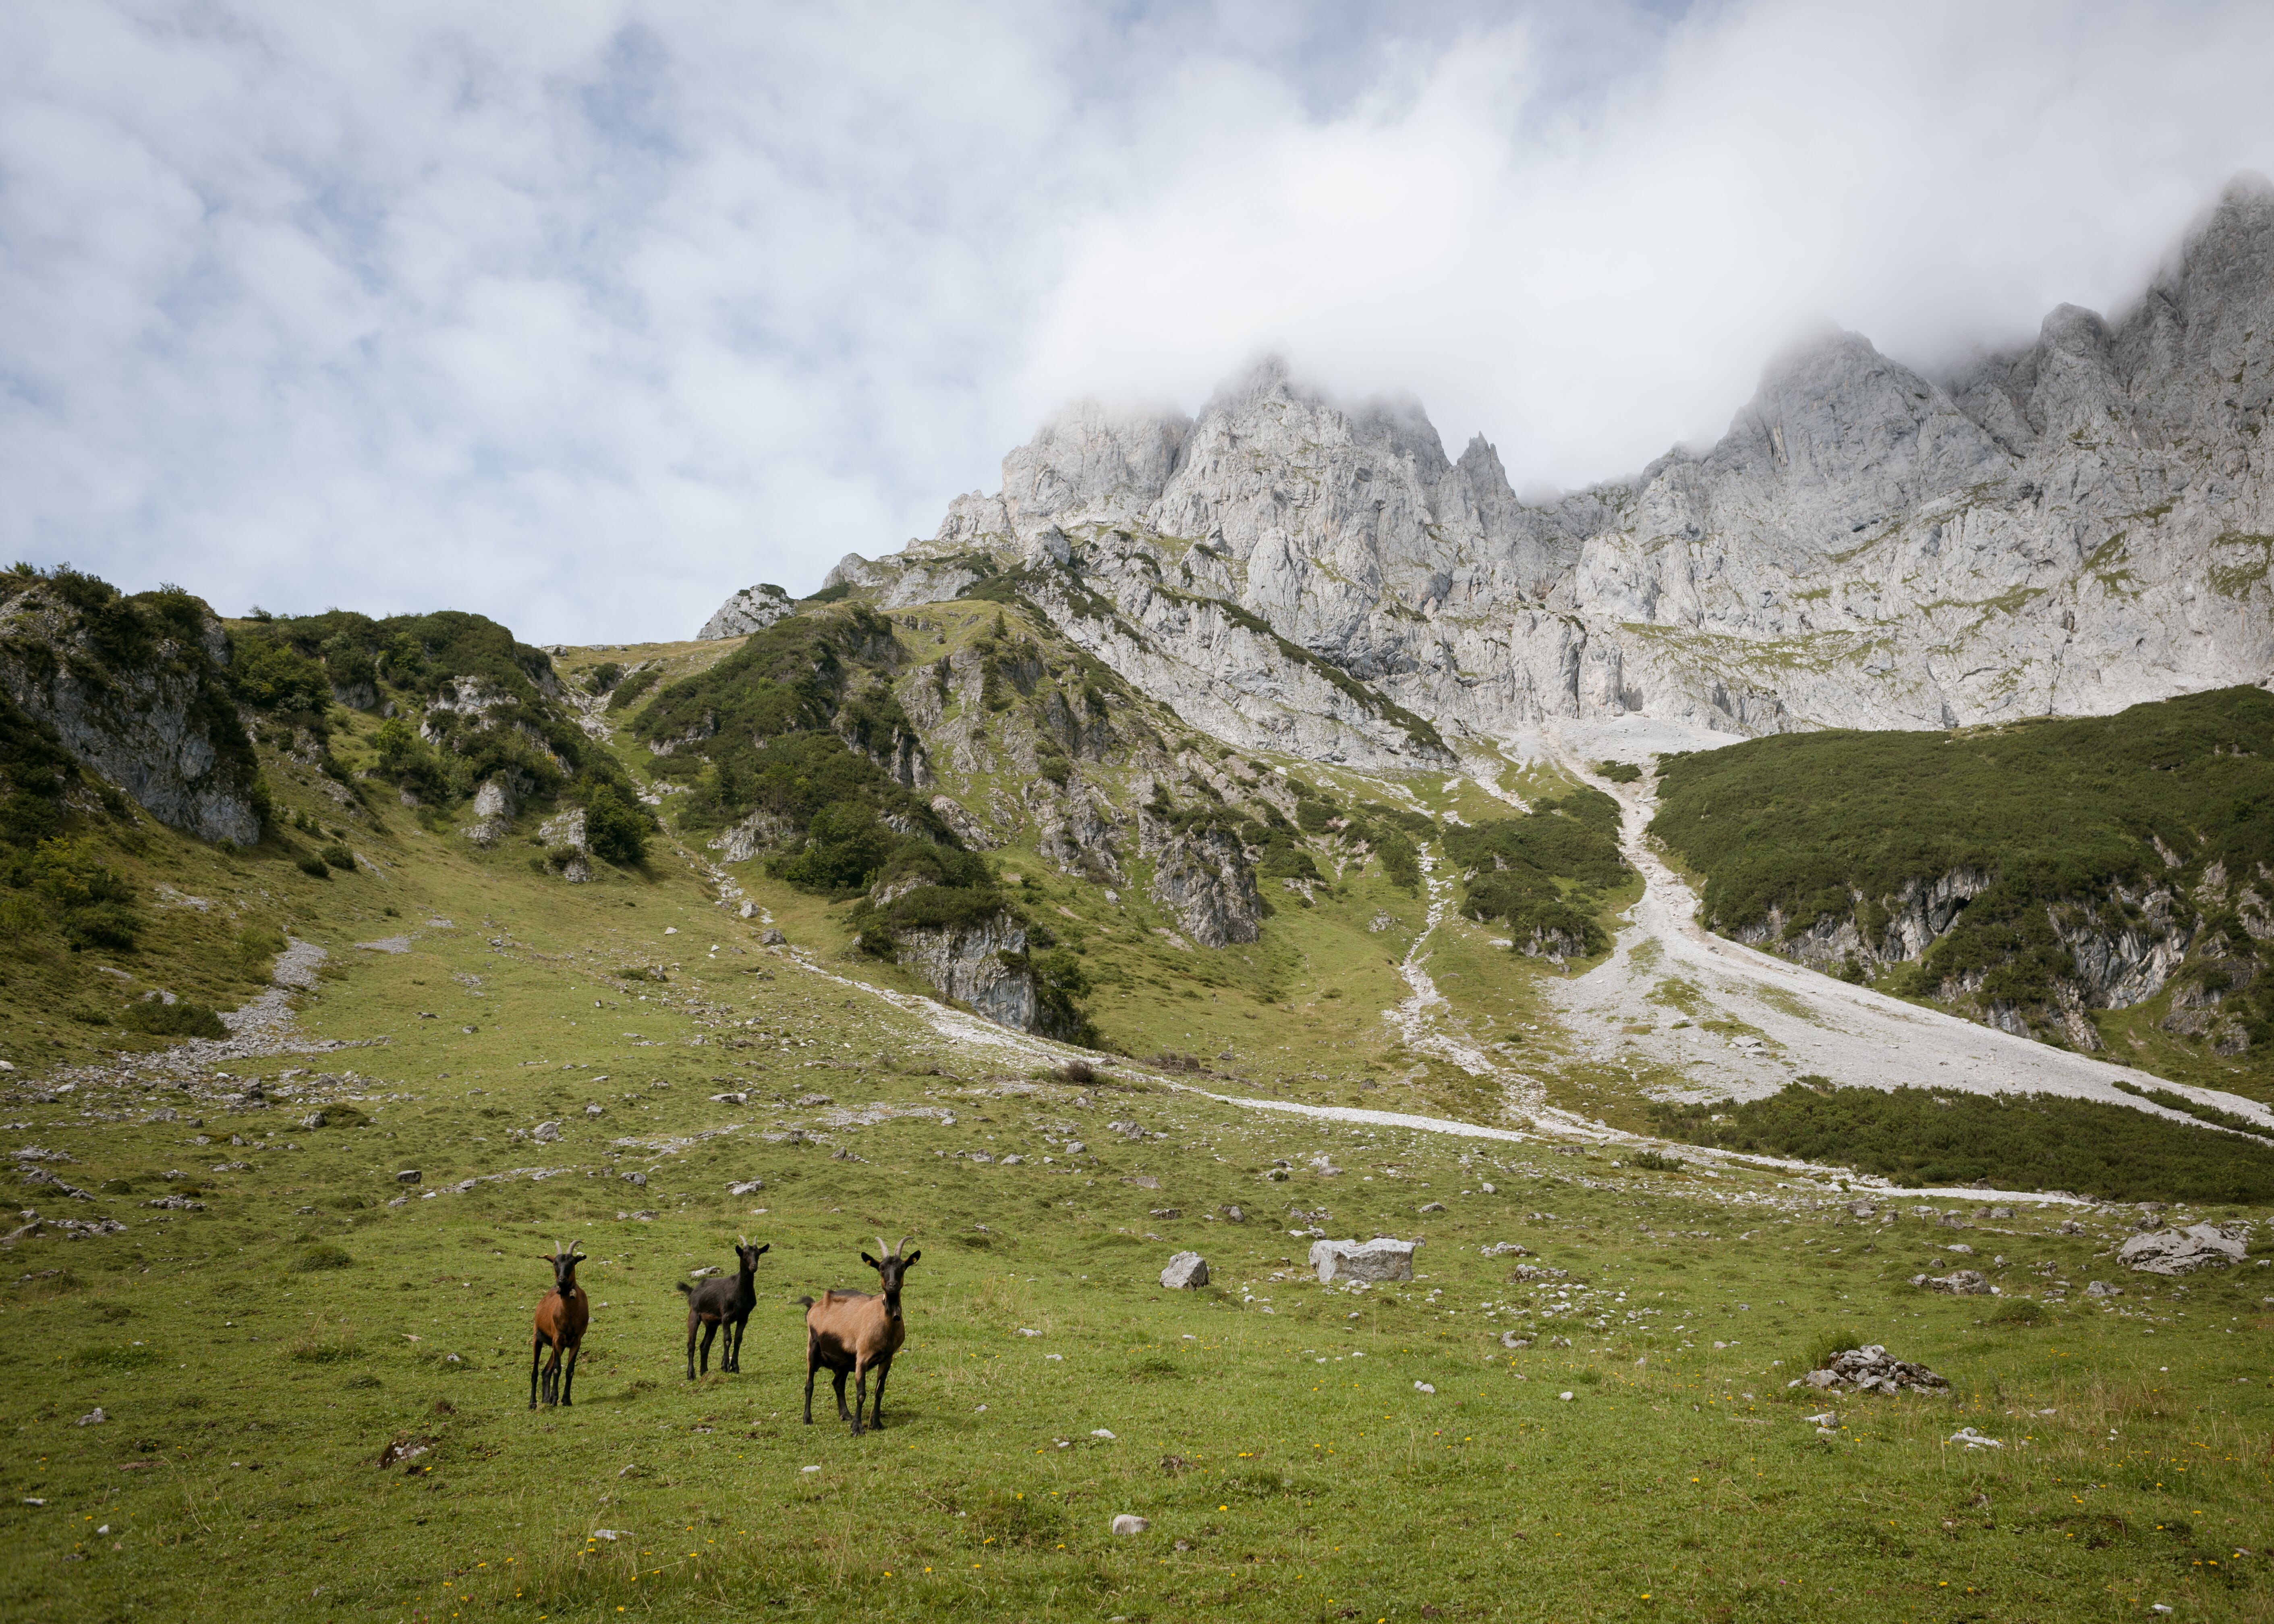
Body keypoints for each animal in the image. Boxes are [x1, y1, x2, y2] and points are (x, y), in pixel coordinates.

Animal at [525, 1237, 587, 1401]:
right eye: (555, 1263)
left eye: (573, 1263)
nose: (561, 1280)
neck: (570, 1314)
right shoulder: (557, 1338)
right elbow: (558, 1369)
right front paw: (555, 1399)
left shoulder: (576, 1341)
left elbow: (570, 1370)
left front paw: (566, 1400)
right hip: (539, 1338)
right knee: (535, 1372)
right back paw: (534, 1403)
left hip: (559, 1345)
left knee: (546, 1371)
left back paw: (546, 1399)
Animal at [673, 1237, 773, 1373]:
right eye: (745, 1254)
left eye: (758, 1254)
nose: (754, 1266)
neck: (740, 1290)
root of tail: (693, 1291)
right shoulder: (726, 1315)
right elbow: (727, 1339)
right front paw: (725, 1366)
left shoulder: (744, 1317)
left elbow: (738, 1340)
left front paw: (735, 1366)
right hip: (694, 1314)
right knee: (691, 1344)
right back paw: (691, 1374)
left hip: (712, 1324)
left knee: (704, 1345)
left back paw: (704, 1371)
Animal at [791, 1228, 914, 1428]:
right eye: (881, 1269)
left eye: (903, 1268)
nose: (892, 1286)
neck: (885, 1324)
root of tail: (814, 1306)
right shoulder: (862, 1357)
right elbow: (861, 1393)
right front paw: (858, 1428)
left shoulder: (887, 1358)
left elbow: (880, 1391)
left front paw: (876, 1424)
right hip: (813, 1347)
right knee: (809, 1384)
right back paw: (808, 1419)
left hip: (842, 1359)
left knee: (837, 1384)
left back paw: (845, 1414)